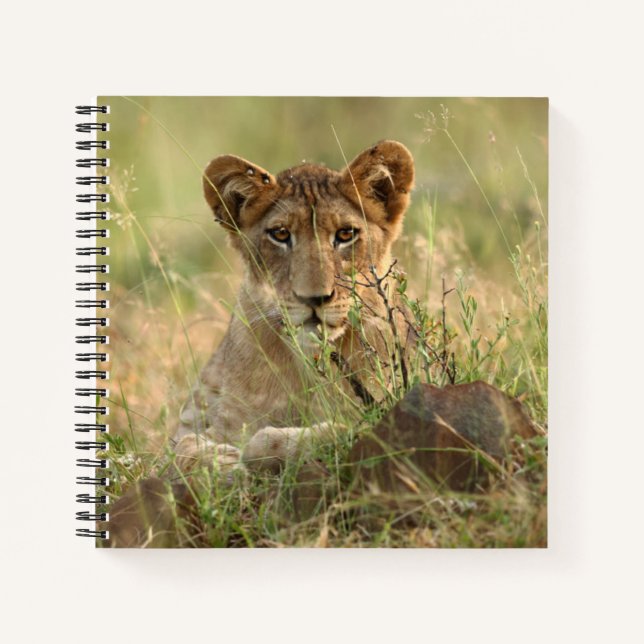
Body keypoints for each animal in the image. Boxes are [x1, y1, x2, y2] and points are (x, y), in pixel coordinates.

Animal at [172, 140, 415, 476]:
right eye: (281, 234)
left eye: (345, 234)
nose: (314, 298)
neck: (309, 365)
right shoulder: (217, 420)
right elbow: (179, 450)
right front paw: (222, 464)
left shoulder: (388, 408)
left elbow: (336, 431)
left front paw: (256, 450)